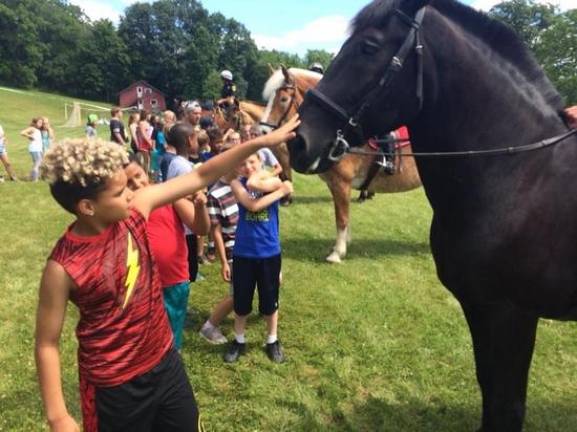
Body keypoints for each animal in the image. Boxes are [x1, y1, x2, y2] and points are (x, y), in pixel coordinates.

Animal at [260, 67, 418, 264]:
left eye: (283, 99)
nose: (263, 131)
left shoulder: (341, 182)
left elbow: (341, 218)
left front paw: (337, 253)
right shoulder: (335, 184)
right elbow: (343, 215)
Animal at [290, 0, 576, 432]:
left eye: (368, 47)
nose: (299, 141)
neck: (522, 177)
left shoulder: (512, 316)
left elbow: (506, 406)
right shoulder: (482, 310)